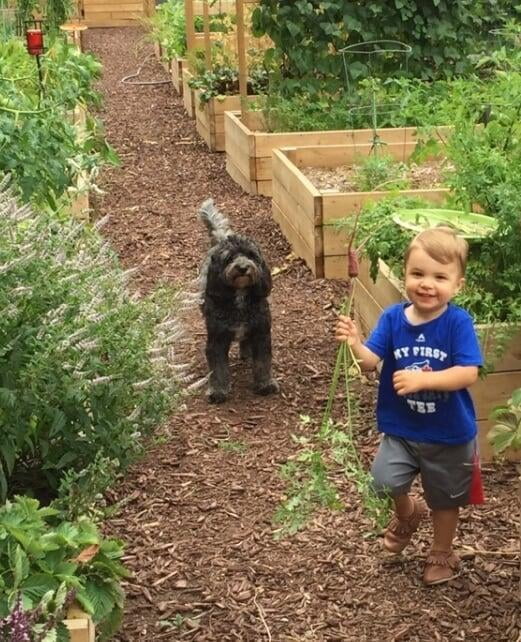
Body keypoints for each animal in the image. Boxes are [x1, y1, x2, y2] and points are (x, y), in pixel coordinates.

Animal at [198, 198, 278, 402]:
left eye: (251, 255)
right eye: (230, 258)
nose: (242, 267)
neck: (239, 298)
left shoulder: (261, 332)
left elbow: (262, 362)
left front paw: (265, 384)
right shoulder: (217, 339)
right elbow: (218, 368)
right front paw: (218, 391)